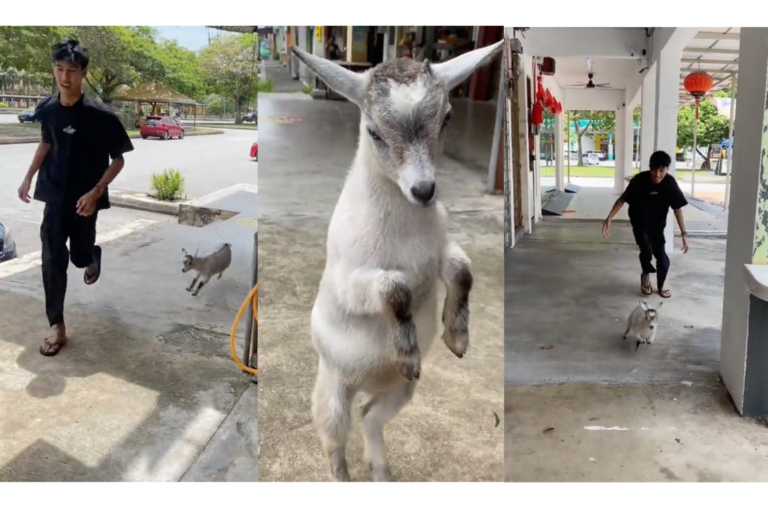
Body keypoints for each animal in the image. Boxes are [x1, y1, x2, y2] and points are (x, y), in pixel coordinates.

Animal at [294, 39, 504, 480]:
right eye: (373, 130)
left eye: (447, 118)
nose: (423, 190)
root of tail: (366, 384)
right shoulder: (350, 279)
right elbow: (397, 288)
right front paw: (407, 352)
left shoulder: (438, 252)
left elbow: (462, 271)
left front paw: (457, 338)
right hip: (332, 390)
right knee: (333, 438)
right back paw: (345, 476)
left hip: (403, 391)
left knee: (371, 416)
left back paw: (382, 471)